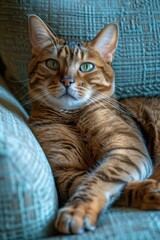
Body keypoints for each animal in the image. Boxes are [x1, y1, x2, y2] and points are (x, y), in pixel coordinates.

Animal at [27, 15, 160, 234]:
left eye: (86, 67)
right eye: (52, 64)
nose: (67, 81)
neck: (72, 117)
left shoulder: (128, 149)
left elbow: (100, 178)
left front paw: (77, 211)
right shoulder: (64, 172)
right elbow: (91, 181)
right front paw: (146, 190)